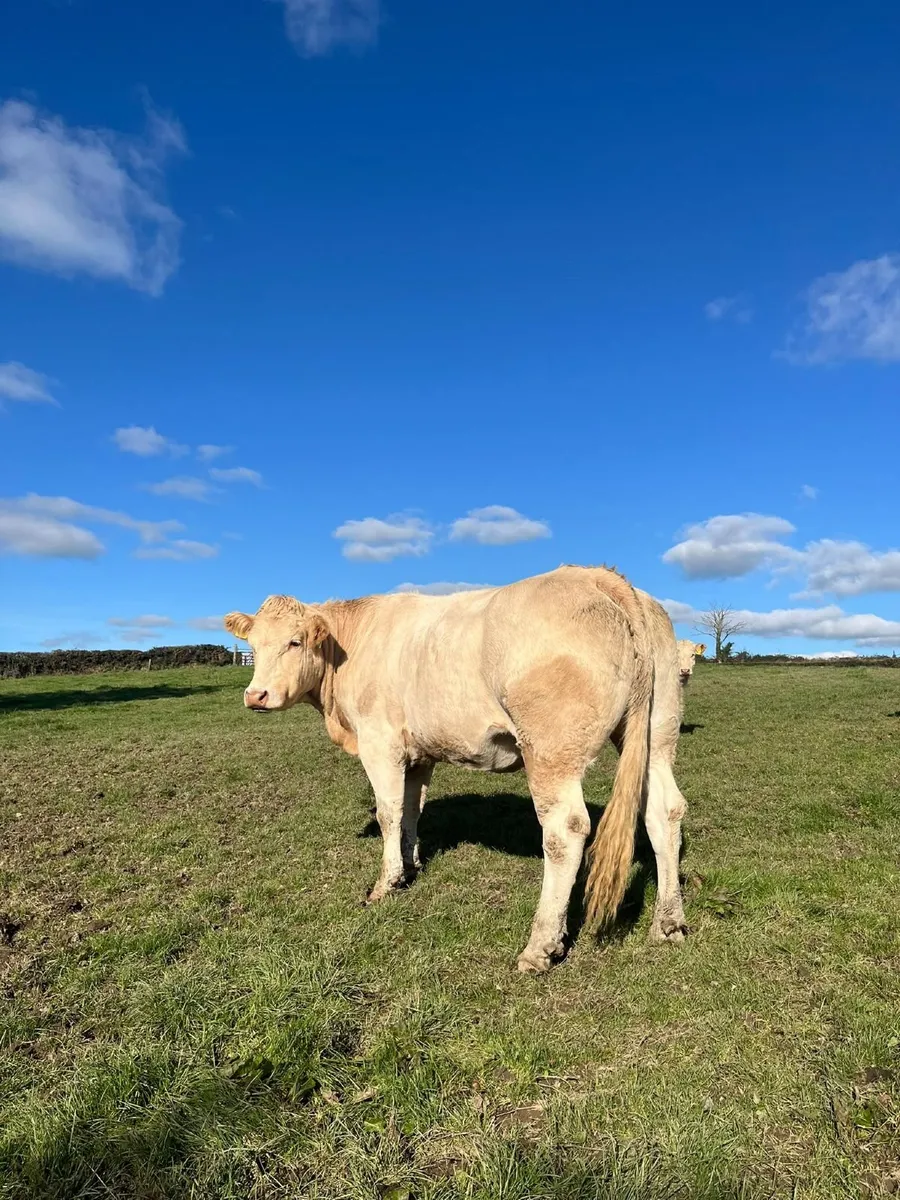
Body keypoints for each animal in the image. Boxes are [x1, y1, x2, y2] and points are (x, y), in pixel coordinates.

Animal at [225, 565, 690, 972]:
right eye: (253, 647)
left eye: (295, 642)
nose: (255, 695)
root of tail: (595, 575)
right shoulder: (418, 752)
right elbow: (411, 810)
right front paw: (409, 867)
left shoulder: (380, 742)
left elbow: (389, 812)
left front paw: (385, 883)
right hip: (658, 730)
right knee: (664, 810)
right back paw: (668, 921)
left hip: (551, 747)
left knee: (566, 830)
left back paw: (541, 946)